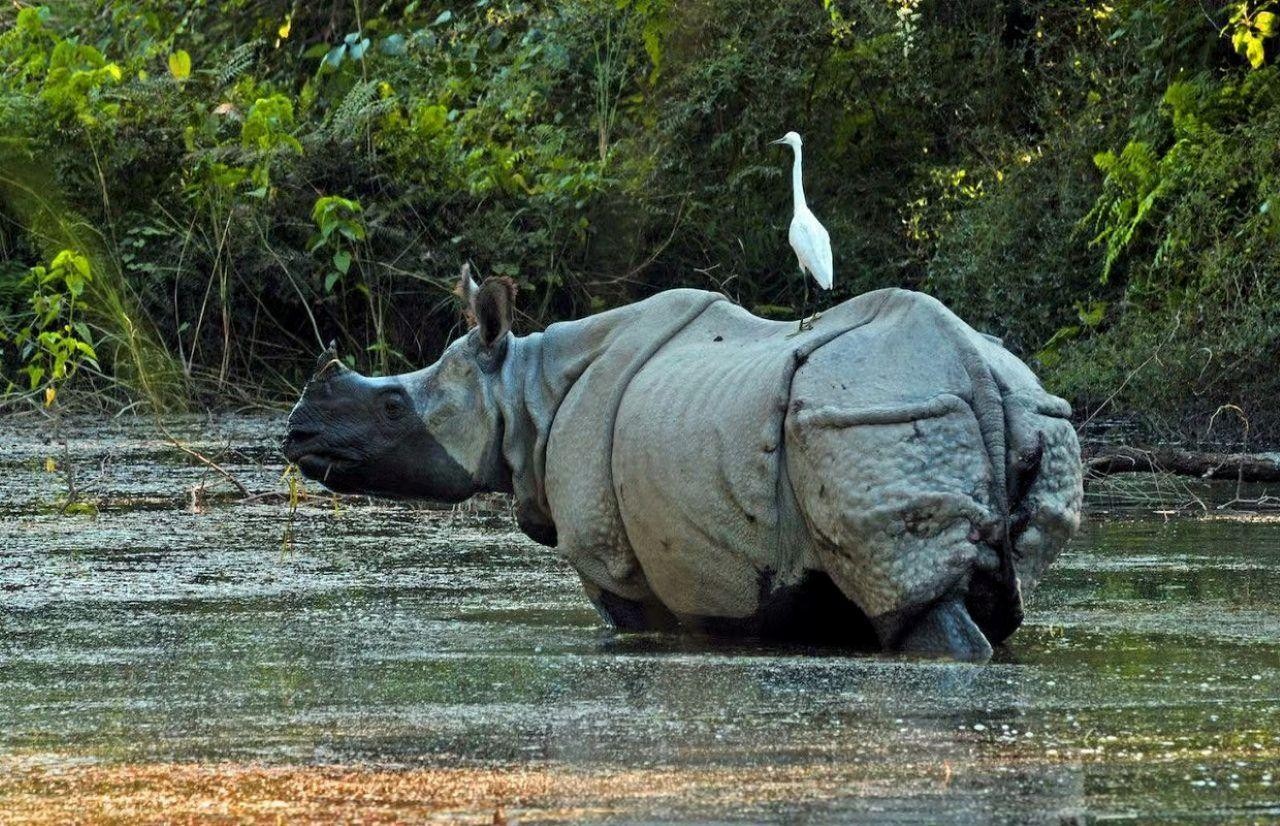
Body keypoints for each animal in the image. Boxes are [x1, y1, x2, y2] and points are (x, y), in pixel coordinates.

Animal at [282, 269, 1083, 662]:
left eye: (394, 406)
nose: (297, 433)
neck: (521, 387)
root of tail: (975, 369)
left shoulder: (612, 560)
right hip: (1027, 412)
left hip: (872, 413)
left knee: (915, 604)